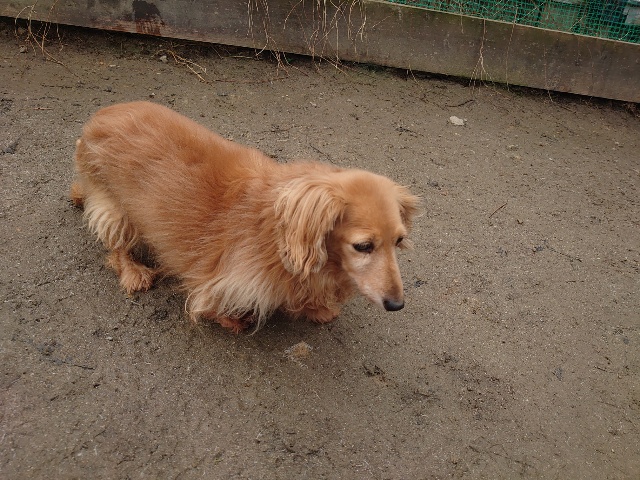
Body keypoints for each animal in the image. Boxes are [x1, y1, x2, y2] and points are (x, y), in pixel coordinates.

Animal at [70, 101, 419, 333]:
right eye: (363, 246)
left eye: (398, 241)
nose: (397, 305)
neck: (278, 235)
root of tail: (98, 117)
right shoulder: (220, 284)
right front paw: (234, 319)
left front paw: (318, 308)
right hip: (115, 209)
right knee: (116, 246)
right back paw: (134, 272)